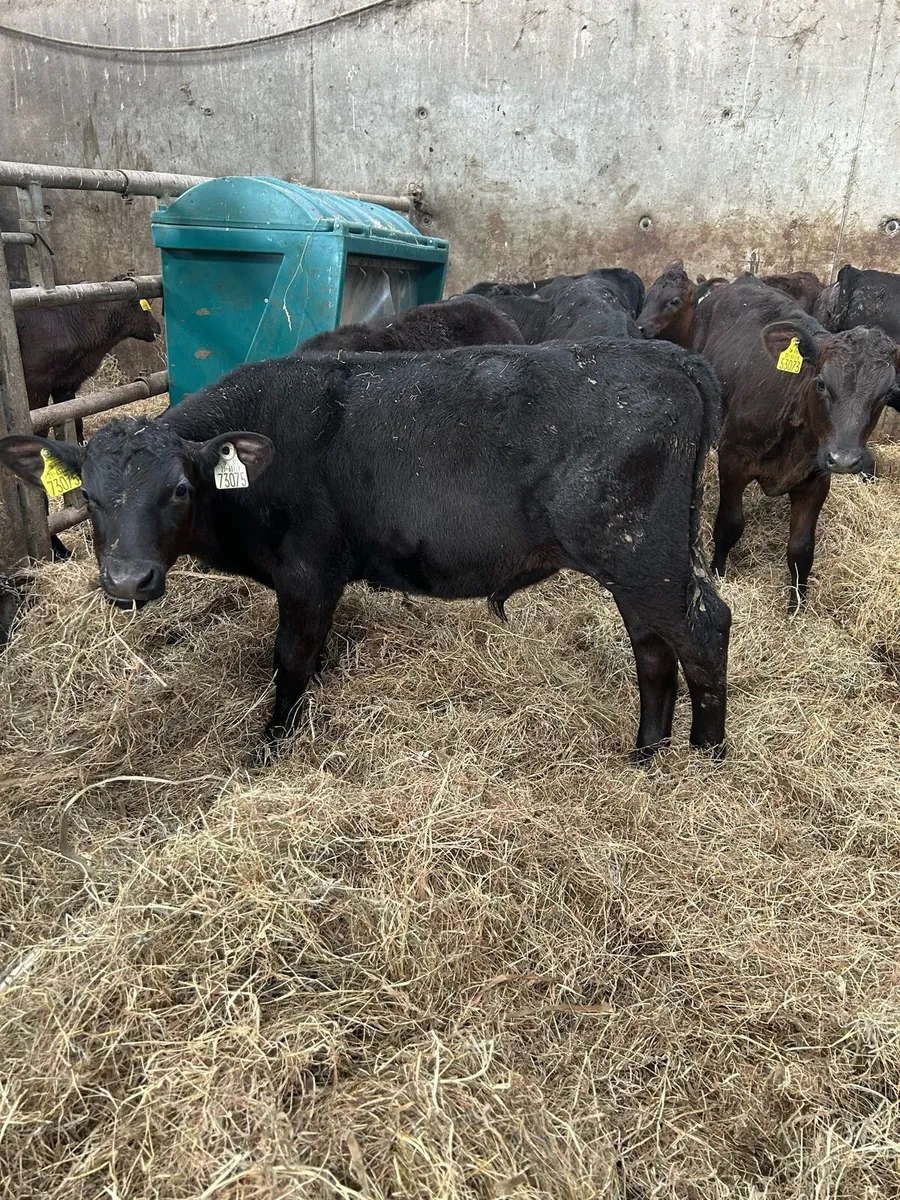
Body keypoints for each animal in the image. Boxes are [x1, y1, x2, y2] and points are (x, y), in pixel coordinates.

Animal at [0, 339, 731, 760]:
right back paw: (647, 755)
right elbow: (311, 657)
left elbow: (290, 658)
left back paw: (705, 758)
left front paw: (272, 747)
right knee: (652, 649)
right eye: (90, 496)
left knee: (704, 633)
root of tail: (668, 356)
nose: (127, 581)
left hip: (644, 556)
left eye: (179, 489)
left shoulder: (308, 571)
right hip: (638, 565)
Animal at [691, 275, 899, 609]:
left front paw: (797, 606)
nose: (844, 459)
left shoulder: (815, 480)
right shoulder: (733, 461)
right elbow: (729, 525)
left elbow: (801, 549)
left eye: (887, 393)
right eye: (822, 382)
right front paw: (718, 573)